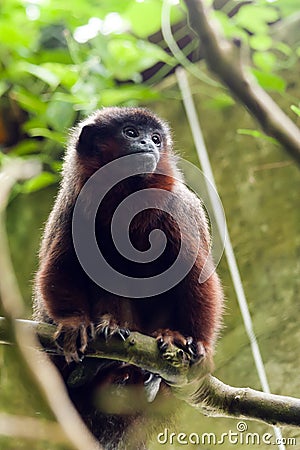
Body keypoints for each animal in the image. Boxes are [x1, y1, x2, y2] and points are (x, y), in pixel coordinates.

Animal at [34, 107, 224, 448]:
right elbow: (60, 269)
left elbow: (196, 277)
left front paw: (198, 343)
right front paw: (74, 325)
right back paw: (102, 352)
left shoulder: (177, 208)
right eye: (132, 133)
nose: (148, 144)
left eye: (156, 138)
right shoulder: (73, 207)